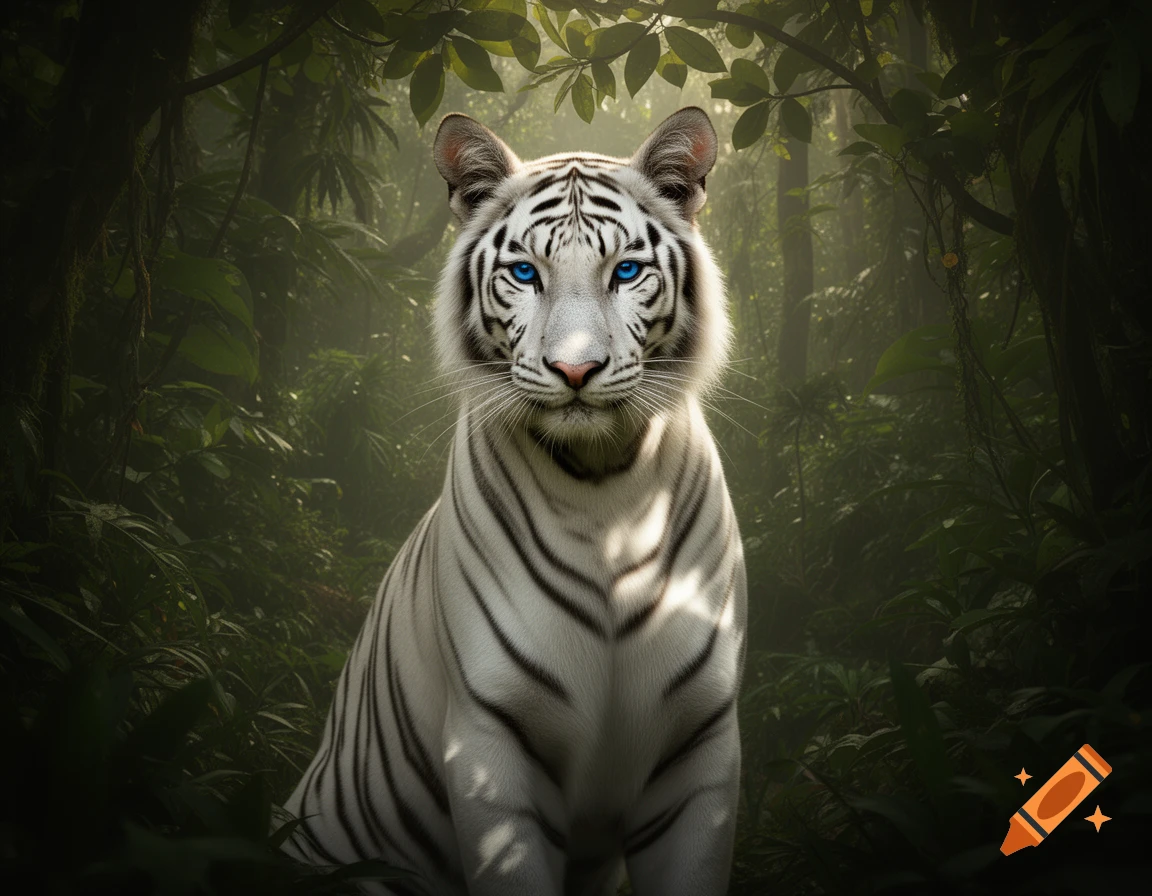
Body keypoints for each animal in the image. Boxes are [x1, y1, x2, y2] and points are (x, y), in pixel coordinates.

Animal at [281, 107, 747, 896]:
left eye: (626, 271)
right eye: (525, 272)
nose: (575, 370)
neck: (605, 486)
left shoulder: (700, 746)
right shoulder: (490, 746)